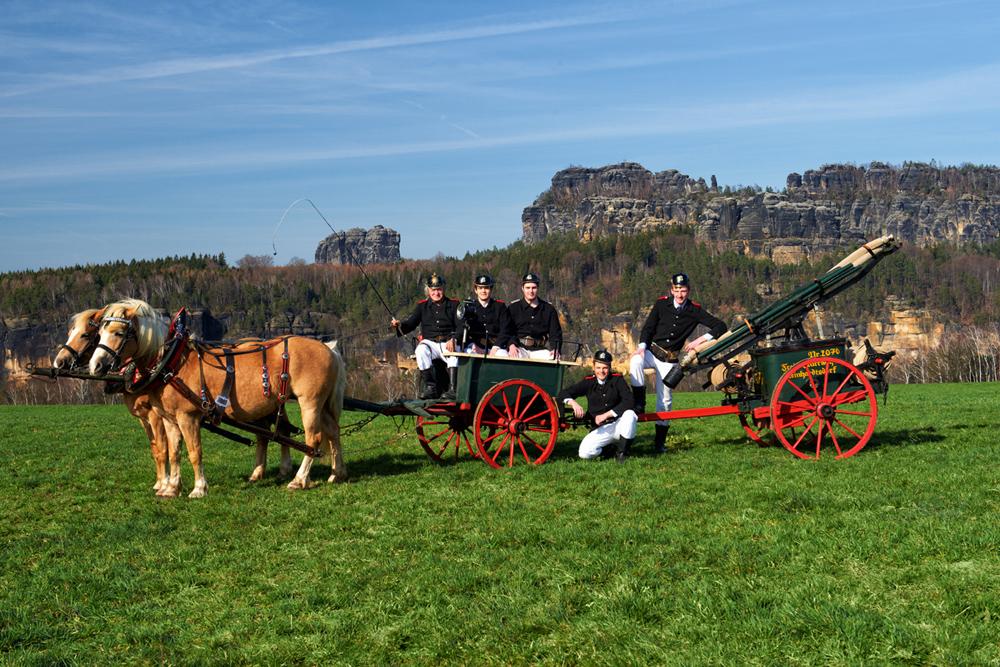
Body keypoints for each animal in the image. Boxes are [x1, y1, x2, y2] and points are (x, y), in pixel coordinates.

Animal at [52, 302, 176, 496]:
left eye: (85, 334)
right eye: (70, 332)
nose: (59, 362)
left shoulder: (156, 417)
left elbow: (164, 449)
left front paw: (165, 484)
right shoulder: (144, 418)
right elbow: (155, 449)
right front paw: (159, 482)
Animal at [90, 300, 348, 498]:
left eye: (119, 333)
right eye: (99, 334)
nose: (96, 365)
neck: (171, 362)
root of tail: (328, 347)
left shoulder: (188, 417)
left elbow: (195, 452)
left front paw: (198, 489)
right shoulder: (169, 420)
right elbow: (174, 453)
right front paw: (171, 489)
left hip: (310, 402)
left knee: (314, 439)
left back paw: (298, 479)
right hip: (321, 404)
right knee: (333, 433)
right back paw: (337, 474)